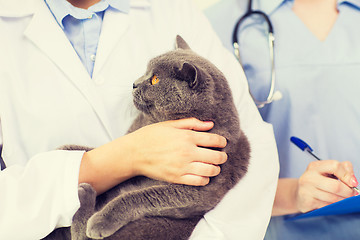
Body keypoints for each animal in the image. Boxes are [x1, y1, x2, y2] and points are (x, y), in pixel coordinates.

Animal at [43, 35, 250, 240]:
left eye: (155, 80)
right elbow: (101, 150)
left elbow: (141, 196)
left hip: (156, 227)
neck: (154, 122)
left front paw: (101, 220)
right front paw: (65, 153)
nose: (134, 83)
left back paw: (85, 196)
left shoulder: (195, 190)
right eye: (146, 72)